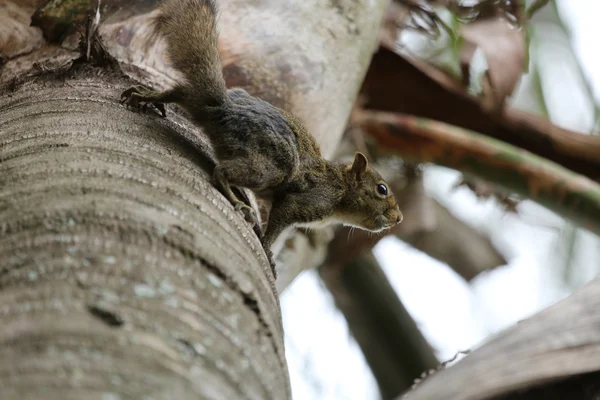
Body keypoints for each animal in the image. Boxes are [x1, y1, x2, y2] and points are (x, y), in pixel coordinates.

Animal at [120, 0, 404, 272]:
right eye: (382, 189)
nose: (398, 218)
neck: (341, 190)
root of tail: (222, 108)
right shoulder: (308, 200)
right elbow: (279, 221)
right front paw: (268, 251)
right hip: (271, 166)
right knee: (221, 171)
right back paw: (237, 201)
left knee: (181, 92)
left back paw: (147, 95)